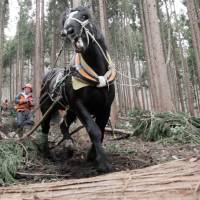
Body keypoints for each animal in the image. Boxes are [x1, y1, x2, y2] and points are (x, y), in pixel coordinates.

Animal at [39, 6, 115, 172]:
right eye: (65, 19)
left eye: (84, 16)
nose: (67, 31)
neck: (97, 74)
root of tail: (48, 74)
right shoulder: (80, 105)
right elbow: (94, 130)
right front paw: (103, 163)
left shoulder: (105, 107)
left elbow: (101, 131)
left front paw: (92, 156)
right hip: (47, 108)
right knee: (45, 127)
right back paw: (47, 153)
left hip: (71, 111)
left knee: (63, 124)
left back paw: (68, 146)